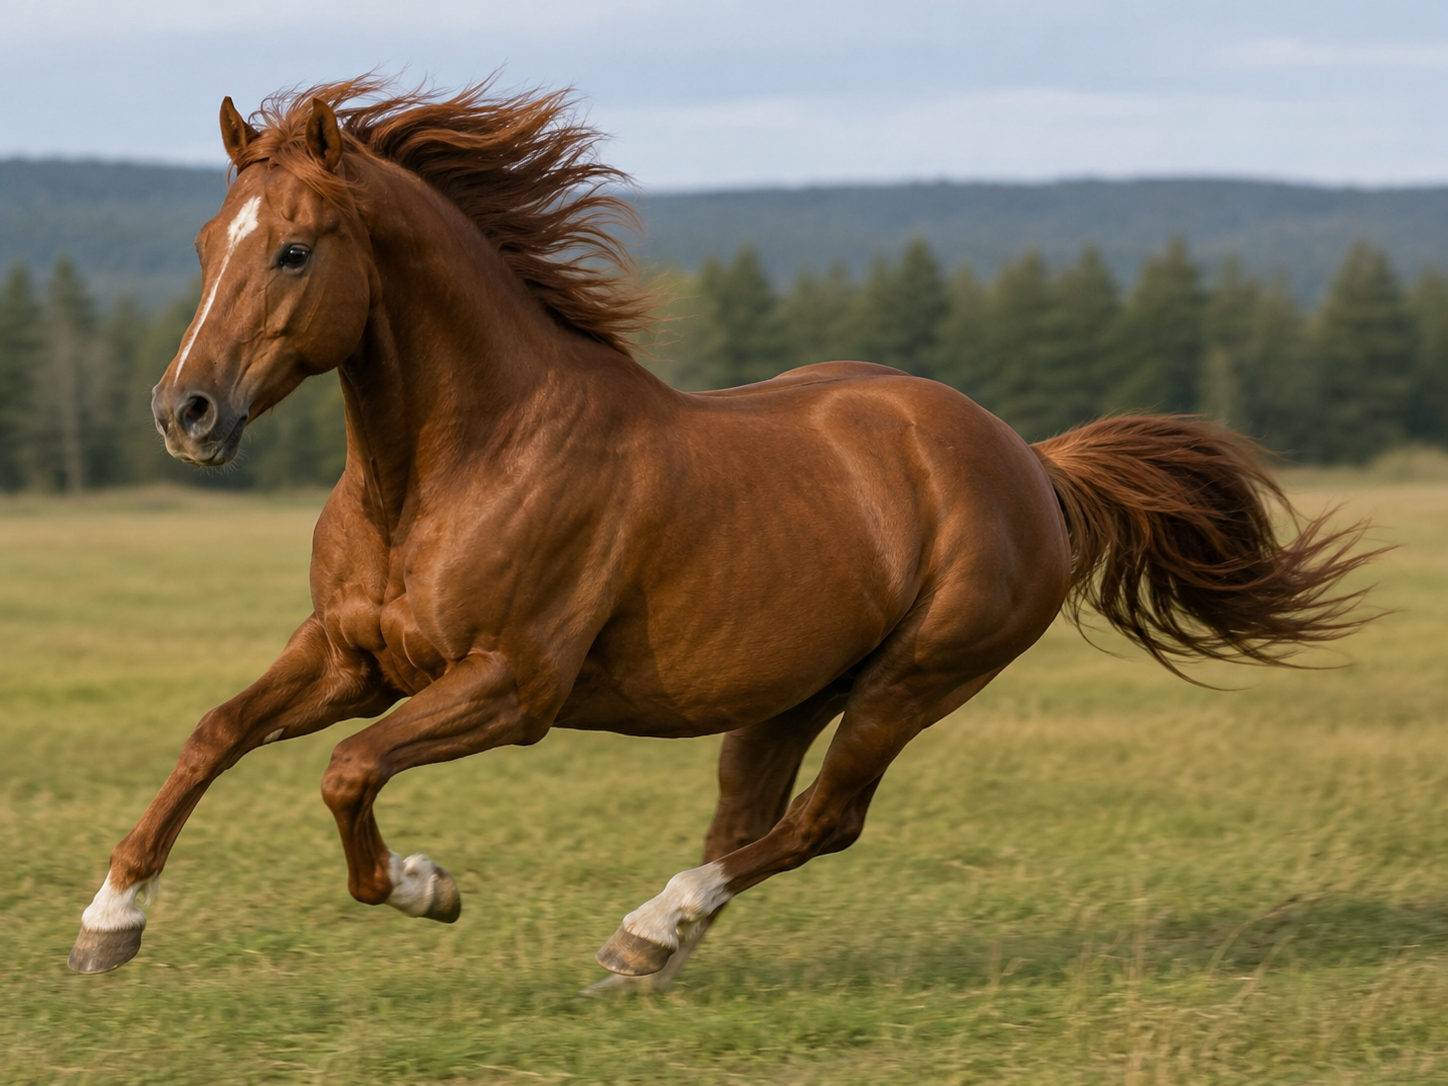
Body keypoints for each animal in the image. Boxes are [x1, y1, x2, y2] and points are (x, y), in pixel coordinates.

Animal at [69, 79, 1374, 989]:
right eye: (206, 245)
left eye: (295, 249)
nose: (185, 413)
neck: (445, 470)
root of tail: (1030, 464)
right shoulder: (350, 656)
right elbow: (215, 733)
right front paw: (106, 927)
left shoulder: (508, 686)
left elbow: (345, 773)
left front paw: (425, 888)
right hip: (786, 692)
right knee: (752, 818)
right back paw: (655, 949)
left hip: (912, 681)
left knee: (821, 823)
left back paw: (650, 927)